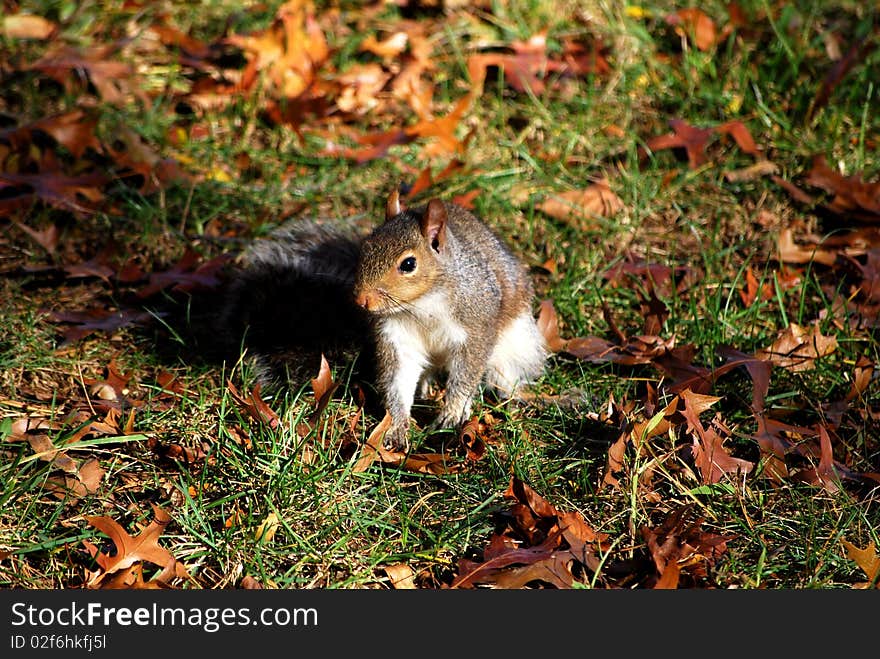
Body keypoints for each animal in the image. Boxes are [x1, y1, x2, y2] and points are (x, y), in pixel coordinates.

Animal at [193, 188, 548, 452]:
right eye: (366, 248)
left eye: (409, 264)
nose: (361, 300)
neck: (422, 304)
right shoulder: (397, 337)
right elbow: (398, 379)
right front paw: (397, 426)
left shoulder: (476, 326)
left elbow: (467, 372)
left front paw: (451, 413)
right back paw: (427, 385)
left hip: (514, 340)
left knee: (501, 370)